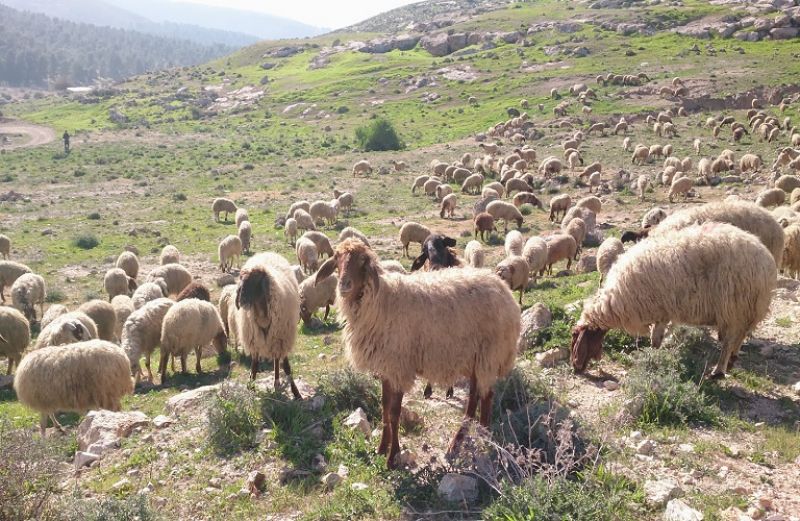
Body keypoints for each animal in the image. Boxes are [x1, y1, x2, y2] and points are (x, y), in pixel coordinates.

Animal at [238, 251, 304, 394]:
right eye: (240, 280)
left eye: (256, 279)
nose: (241, 300)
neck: (262, 313)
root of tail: (267, 253)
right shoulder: (255, 340)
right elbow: (254, 364)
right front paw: (251, 385)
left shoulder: (282, 337)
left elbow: (286, 366)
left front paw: (295, 391)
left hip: (277, 337)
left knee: (277, 359)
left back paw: (277, 382)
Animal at [312, 240, 520, 468]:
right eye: (337, 259)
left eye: (363, 261)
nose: (344, 285)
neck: (381, 301)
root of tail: (504, 289)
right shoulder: (387, 368)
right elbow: (384, 408)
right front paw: (382, 447)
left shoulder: (399, 366)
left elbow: (394, 413)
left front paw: (392, 457)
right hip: (475, 358)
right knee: (475, 396)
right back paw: (459, 442)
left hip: (489, 354)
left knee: (487, 396)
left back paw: (484, 437)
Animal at [572, 221, 780, 376]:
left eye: (575, 337)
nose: (575, 367)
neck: (616, 300)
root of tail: (768, 261)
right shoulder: (663, 312)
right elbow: (656, 338)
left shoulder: (661, 310)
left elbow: (655, 340)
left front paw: (652, 359)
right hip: (745, 309)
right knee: (739, 337)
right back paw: (731, 362)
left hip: (734, 306)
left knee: (729, 341)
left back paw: (718, 371)